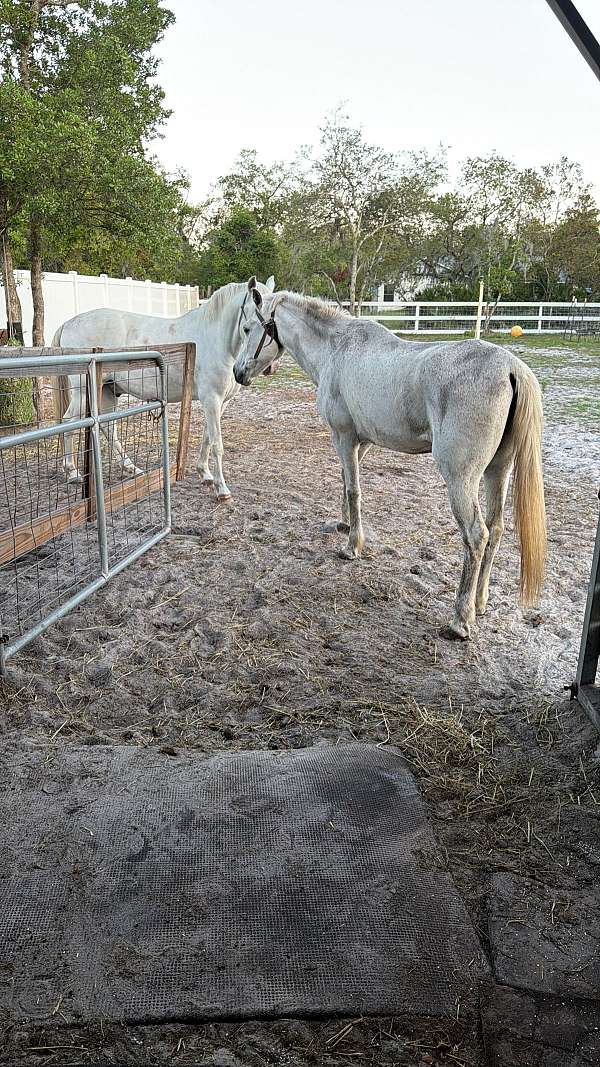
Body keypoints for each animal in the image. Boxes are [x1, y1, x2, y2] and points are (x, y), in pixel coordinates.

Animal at [54, 276, 276, 501]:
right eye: (251, 325)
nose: (270, 367)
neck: (217, 340)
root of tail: (68, 323)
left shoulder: (220, 402)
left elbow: (207, 438)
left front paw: (205, 474)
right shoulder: (211, 399)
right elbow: (217, 444)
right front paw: (222, 489)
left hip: (106, 390)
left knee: (108, 429)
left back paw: (131, 468)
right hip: (83, 392)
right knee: (68, 422)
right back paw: (72, 472)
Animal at [232, 283, 546, 640]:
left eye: (247, 329)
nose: (238, 373)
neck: (335, 349)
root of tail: (510, 367)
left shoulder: (344, 437)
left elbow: (353, 490)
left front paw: (352, 546)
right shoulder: (362, 442)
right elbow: (345, 481)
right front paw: (344, 525)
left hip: (461, 479)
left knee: (476, 535)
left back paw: (461, 619)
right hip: (498, 471)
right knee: (495, 530)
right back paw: (479, 602)